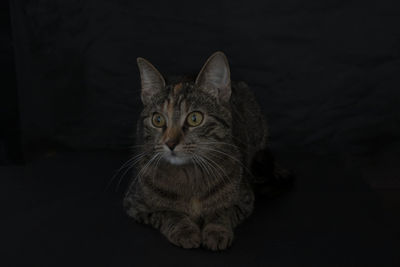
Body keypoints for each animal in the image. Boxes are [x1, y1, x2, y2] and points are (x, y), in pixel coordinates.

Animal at [122, 51, 290, 251]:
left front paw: (216, 231)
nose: (170, 143)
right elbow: (168, 213)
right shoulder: (136, 204)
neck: (189, 176)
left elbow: (222, 212)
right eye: (158, 120)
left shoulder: (245, 200)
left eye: (195, 118)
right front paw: (185, 231)